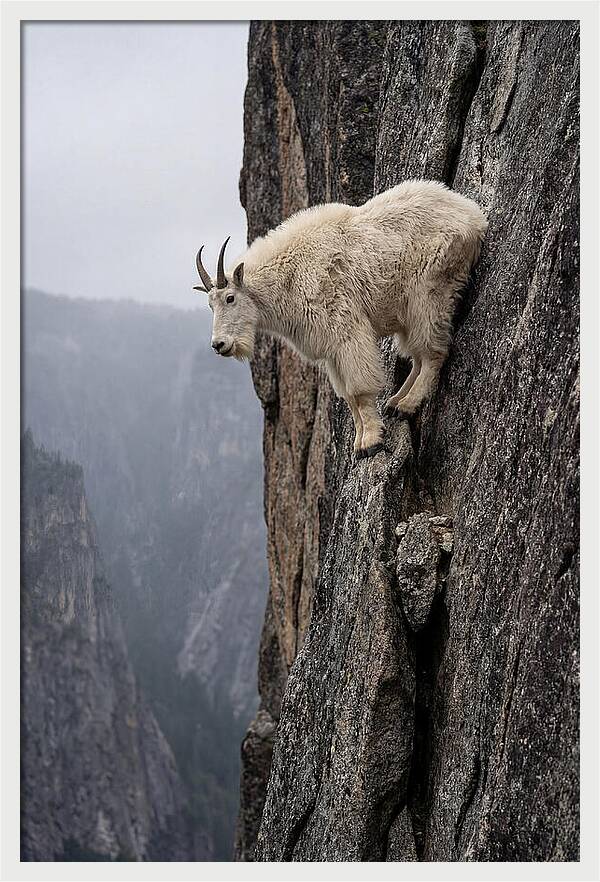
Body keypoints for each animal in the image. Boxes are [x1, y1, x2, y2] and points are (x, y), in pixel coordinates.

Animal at [194, 180, 487, 458]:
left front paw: (371, 442)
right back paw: (395, 402)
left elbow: (358, 390)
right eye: (209, 304)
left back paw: (407, 405)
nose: (219, 345)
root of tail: (474, 215)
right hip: (408, 311)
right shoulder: (331, 351)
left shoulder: (346, 331)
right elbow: (347, 396)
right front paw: (358, 443)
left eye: (230, 298)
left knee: (433, 351)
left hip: (429, 292)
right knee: (417, 355)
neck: (288, 277)